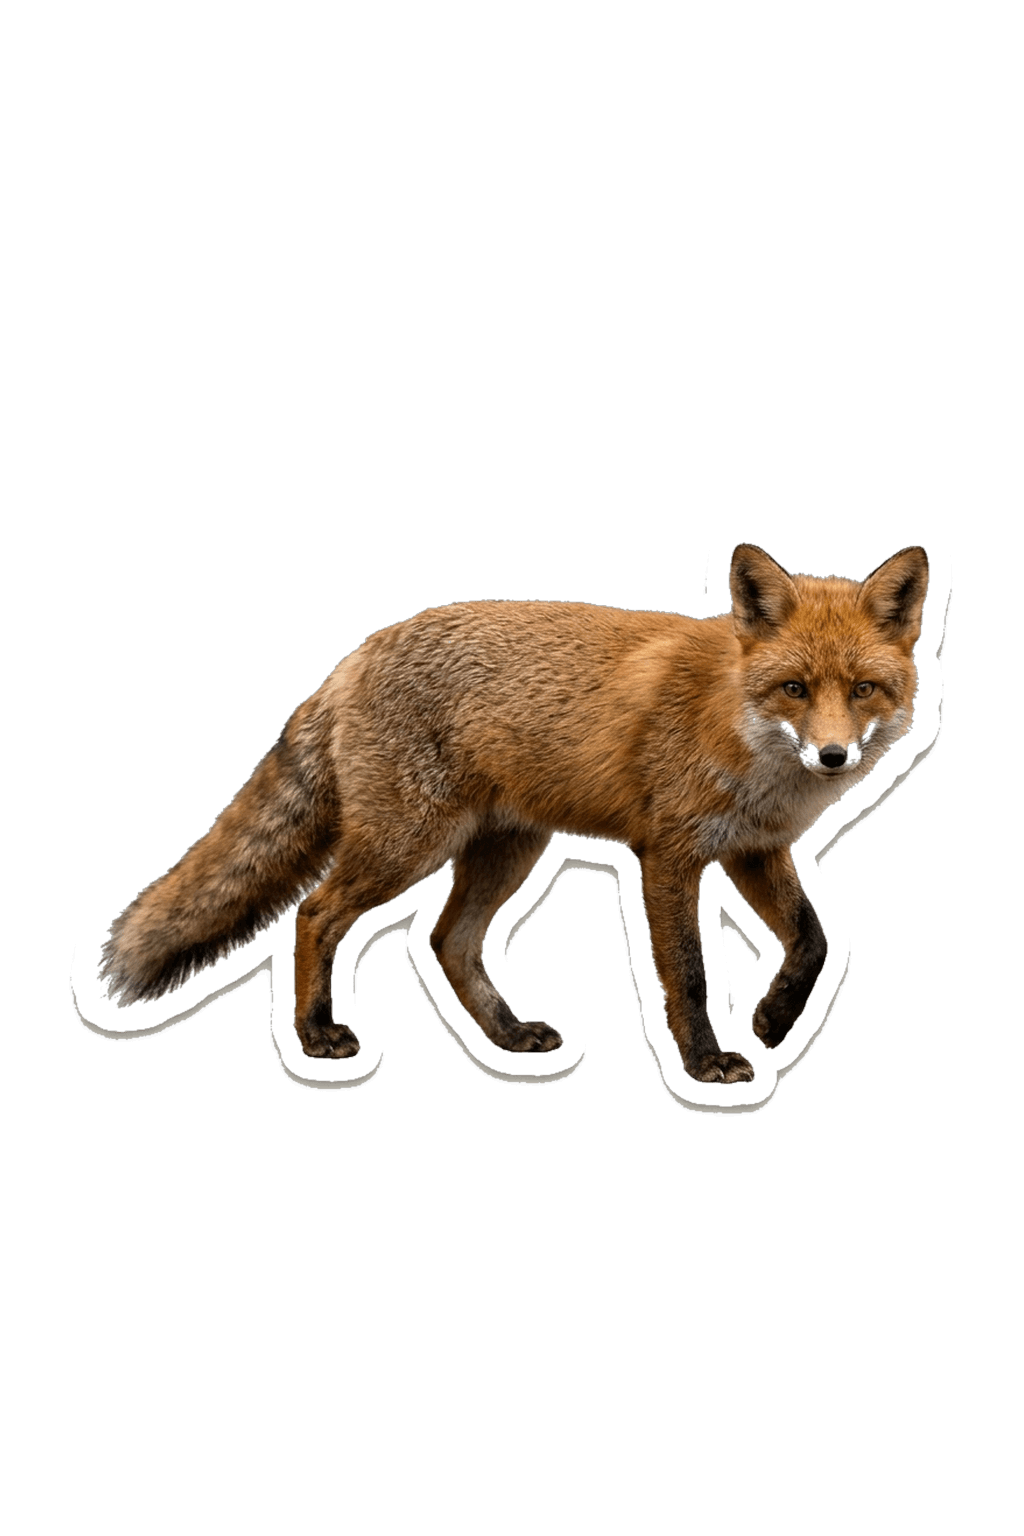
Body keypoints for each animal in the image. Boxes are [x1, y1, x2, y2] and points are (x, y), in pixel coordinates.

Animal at [98, 543, 929, 1086]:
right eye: (795, 688)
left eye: (862, 689)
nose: (832, 756)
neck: (738, 730)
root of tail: (356, 655)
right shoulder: (669, 855)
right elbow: (689, 974)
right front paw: (705, 1063)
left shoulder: (754, 850)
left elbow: (814, 941)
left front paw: (775, 1021)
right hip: (408, 845)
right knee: (316, 913)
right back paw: (313, 1034)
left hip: (507, 849)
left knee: (447, 941)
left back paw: (505, 1034)